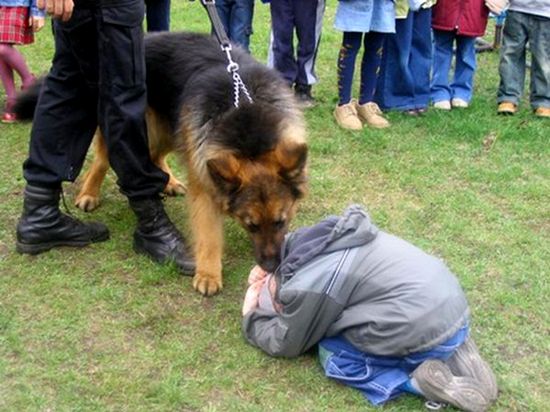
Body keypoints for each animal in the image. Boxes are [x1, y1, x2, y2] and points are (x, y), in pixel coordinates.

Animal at [16, 33, 310, 296]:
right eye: (251, 226)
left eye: (281, 222)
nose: (272, 266)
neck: (247, 123)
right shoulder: (204, 185)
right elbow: (209, 235)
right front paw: (208, 274)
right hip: (138, 127)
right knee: (103, 158)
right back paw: (89, 193)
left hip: (172, 129)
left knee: (155, 158)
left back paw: (169, 182)